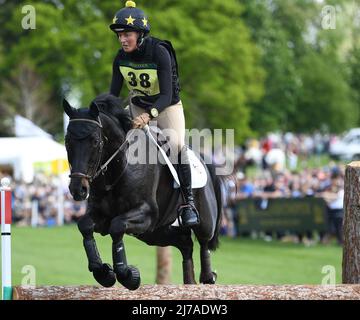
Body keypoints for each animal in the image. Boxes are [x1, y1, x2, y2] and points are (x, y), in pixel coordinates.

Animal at [64, 93, 222, 290]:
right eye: (67, 141)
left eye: (94, 141)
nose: (78, 189)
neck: (121, 167)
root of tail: (204, 160)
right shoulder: (102, 215)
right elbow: (85, 226)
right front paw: (103, 272)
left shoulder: (147, 213)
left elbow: (117, 226)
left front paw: (127, 275)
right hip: (154, 233)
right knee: (185, 243)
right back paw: (189, 282)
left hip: (201, 221)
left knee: (203, 242)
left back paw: (208, 277)